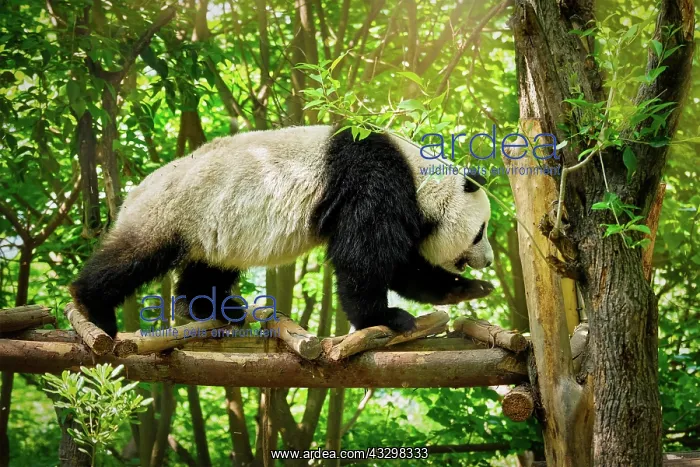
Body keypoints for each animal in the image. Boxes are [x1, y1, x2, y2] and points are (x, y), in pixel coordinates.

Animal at [70, 125, 495, 338]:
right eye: (480, 232)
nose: (488, 261)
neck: (419, 176)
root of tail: (134, 191)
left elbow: (404, 267)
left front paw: (468, 289)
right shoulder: (373, 181)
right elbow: (364, 259)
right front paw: (385, 318)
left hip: (214, 227)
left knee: (206, 269)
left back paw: (217, 310)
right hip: (172, 211)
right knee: (131, 258)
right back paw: (93, 307)